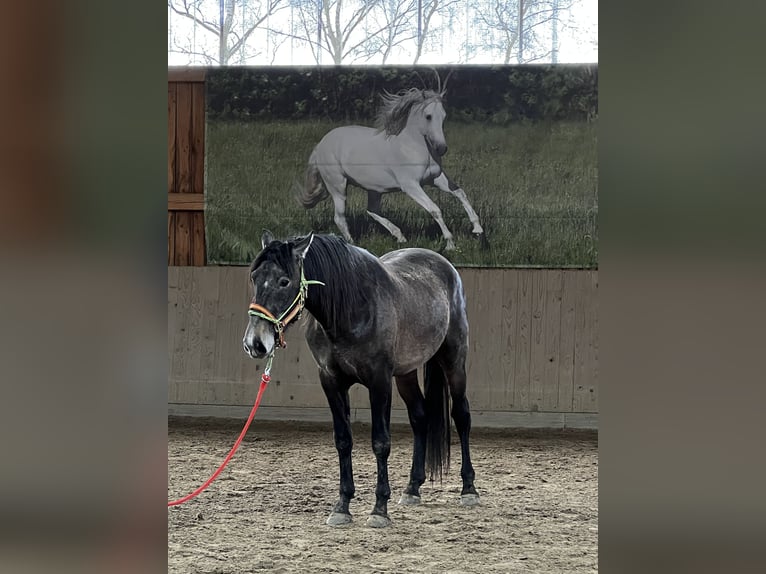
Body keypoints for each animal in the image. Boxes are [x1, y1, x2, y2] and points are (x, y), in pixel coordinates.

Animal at [243, 232, 480, 528]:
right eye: (254, 277)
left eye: (284, 281)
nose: (255, 343)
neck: (351, 309)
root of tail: (446, 267)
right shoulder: (331, 381)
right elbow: (343, 440)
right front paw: (342, 506)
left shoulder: (379, 382)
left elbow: (381, 442)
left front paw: (379, 509)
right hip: (405, 374)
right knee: (420, 417)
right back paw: (412, 488)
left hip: (453, 361)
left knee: (461, 415)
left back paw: (469, 489)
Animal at [300, 84, 486, 251]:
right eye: (428, 116)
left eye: (444, 116)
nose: (441, 148)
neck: (415, 147)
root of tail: (320, 145)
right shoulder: (411, 185)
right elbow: (435, 210)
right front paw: (450, 244)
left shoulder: (435, 179)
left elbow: (460, 193)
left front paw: (478, 230)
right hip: (338, 186)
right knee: (339, 218)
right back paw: (353, 244)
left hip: (374, 189)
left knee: (372, 210)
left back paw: (400, 236)